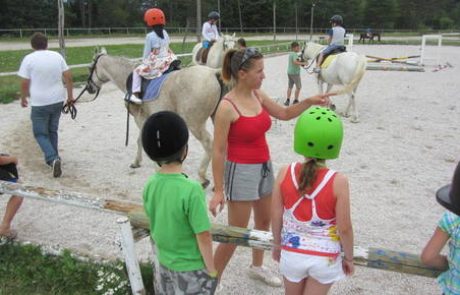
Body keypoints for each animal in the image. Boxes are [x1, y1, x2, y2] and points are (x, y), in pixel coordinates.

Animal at [86, 48, 225, 187]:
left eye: (90, 68)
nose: (89, 88)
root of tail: (213, 72)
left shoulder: (140, 119)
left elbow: (141, 140)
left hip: (195, 124)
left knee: (209, 144)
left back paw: (202, 177)